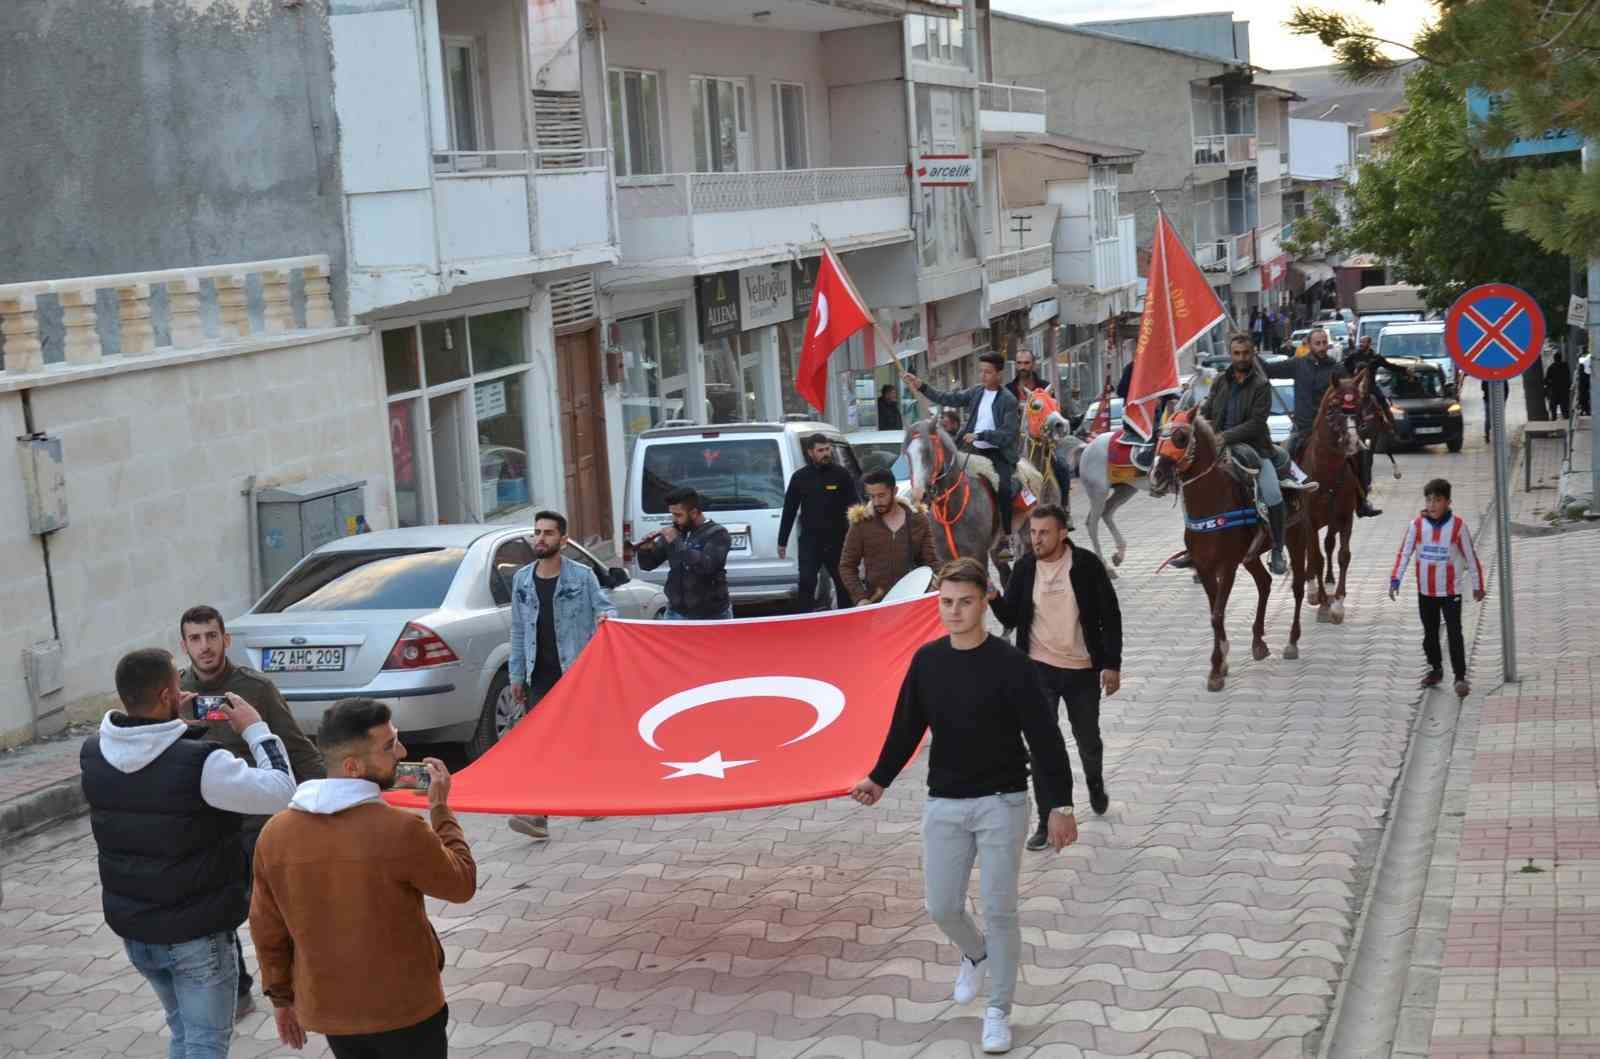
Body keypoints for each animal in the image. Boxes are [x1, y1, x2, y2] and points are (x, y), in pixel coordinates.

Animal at [1152, 407, 1273, 697]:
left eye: (1181, 437)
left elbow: (1217, 614)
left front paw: (1217, 668)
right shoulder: (1205, 567)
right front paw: (1220, 662)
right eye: (1158, 434)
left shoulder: (1227, 566)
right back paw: (1258, 641)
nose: (1157, 475)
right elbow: (1213, 614)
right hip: (1250, 558)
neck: (1212, 504)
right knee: (1265, 583)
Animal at [1286, 372, 1363, 659]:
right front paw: (1321, 604)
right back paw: (1313, 592)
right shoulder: (1308, 521)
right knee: (1312, 553)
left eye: (1359, 405)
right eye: (1332, 407)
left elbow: (1342, 555)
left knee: (1328, 545)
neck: (1326, 472)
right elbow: (1316, 558)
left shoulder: (1345, 518)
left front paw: (1337, 604)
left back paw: (1327, 588)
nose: (1353, 443)